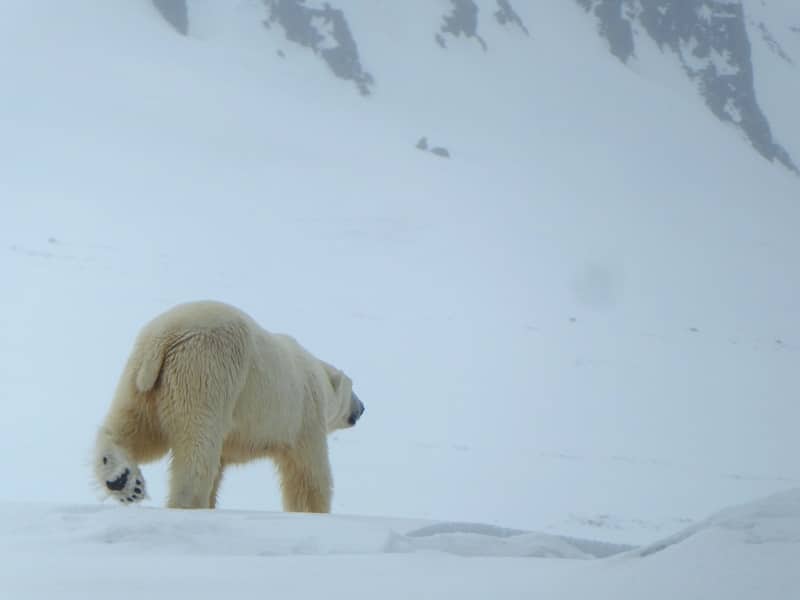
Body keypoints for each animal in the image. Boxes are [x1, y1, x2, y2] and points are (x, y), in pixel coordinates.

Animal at [92, 300, 364, 510]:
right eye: (353, 389)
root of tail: (166, 336)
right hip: (207, 371)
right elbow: (308, 473)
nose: (362, 408)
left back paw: (124, 481)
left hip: (142, 380)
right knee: (196, 447)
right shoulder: (305, 415)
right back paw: (187, 503)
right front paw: (315, 512)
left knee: (134, 428)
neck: (318, 374)